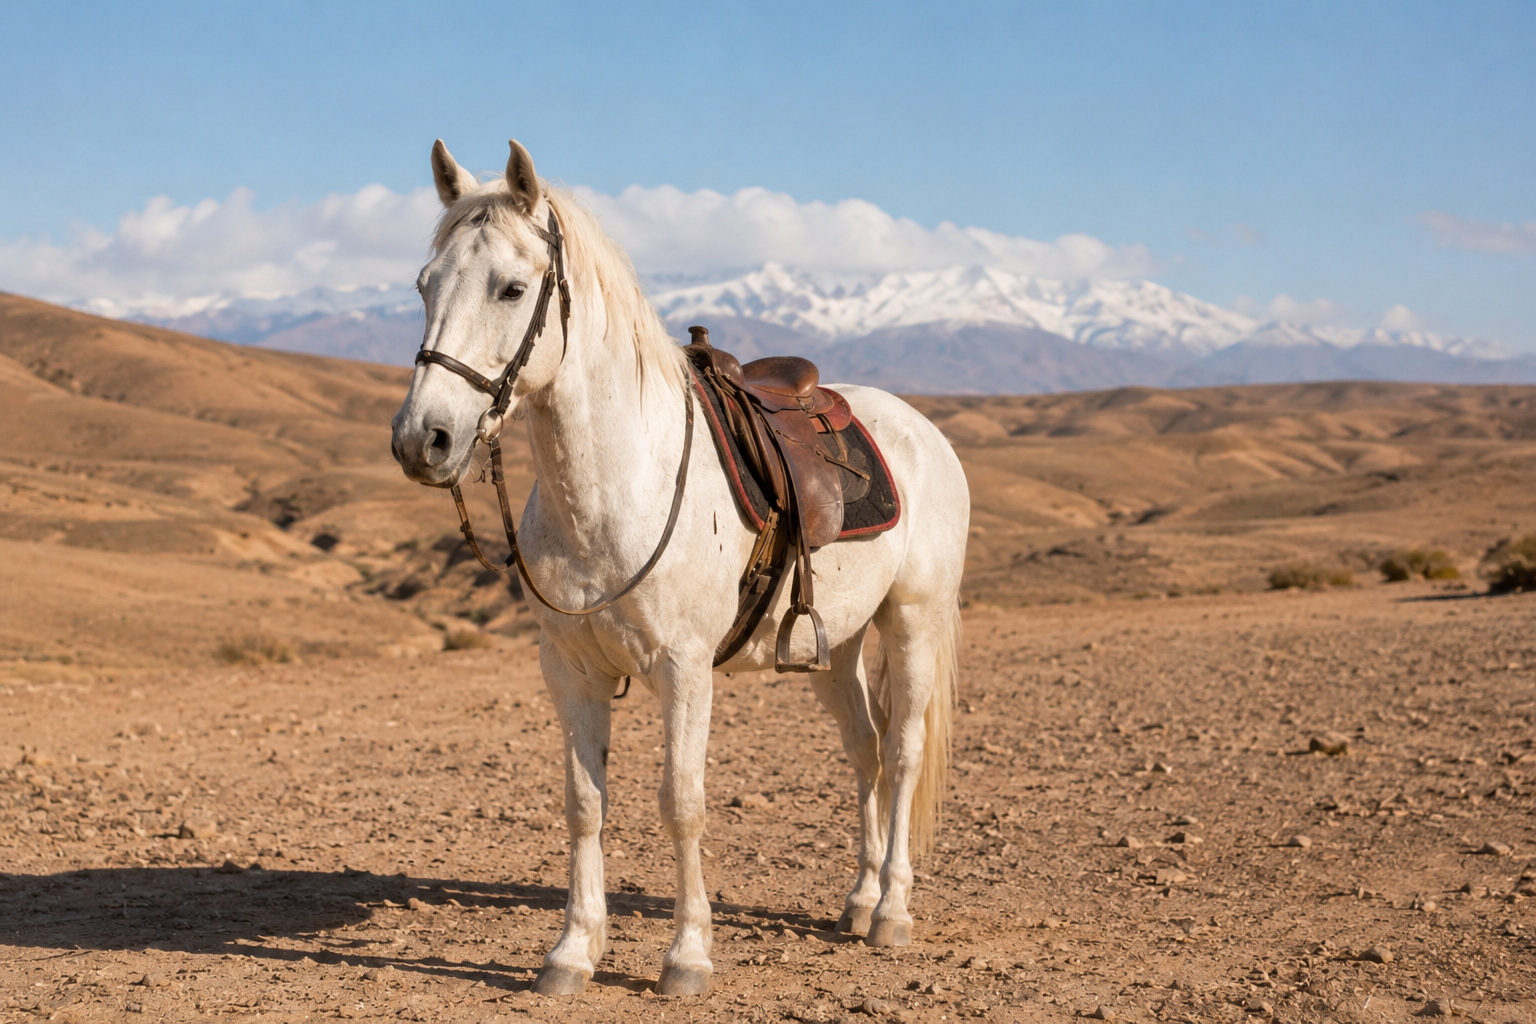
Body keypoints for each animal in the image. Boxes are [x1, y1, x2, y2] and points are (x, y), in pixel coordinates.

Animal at [390, 138, 969, 996]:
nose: (420, 439)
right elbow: (583, 804)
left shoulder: (685, 668)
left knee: (901, 752)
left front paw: (687, 956)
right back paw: (860, 901)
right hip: (839, 644)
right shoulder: (570, 670)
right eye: (425, 284)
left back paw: (892, 911)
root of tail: (920, 428)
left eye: (512, 288)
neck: (621, 482)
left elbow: (682, 802)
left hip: (914, 621)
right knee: (864, 750)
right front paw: (572, 951)